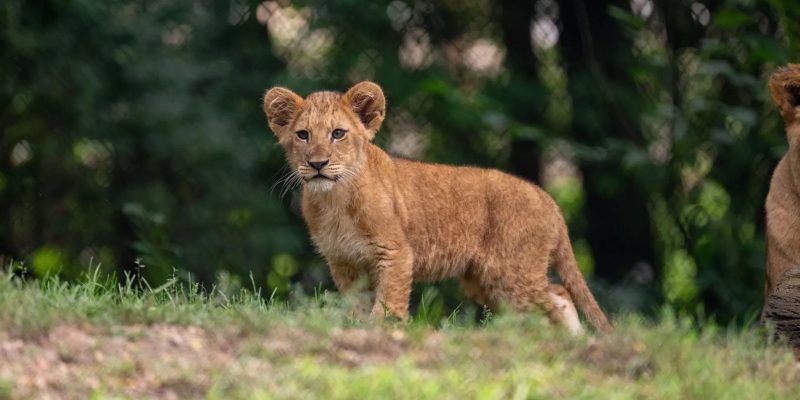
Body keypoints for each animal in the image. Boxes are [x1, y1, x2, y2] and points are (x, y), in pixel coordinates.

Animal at [263, 81, 612, 333]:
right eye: (303, 135)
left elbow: (389, 300)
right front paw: (357, 327)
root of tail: (547, 198)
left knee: (555, 299)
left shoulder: (395, 252)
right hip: (485, 281)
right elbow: (356, 304)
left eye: (338, 134)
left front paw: (384, 329)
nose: (317, 164)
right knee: (557, 294)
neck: (334, 199)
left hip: (511, 272)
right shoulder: (344, 262)